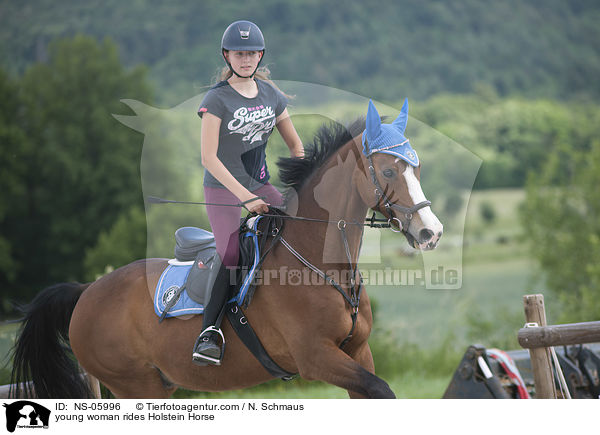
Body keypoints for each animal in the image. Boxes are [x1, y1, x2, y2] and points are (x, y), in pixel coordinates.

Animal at [8, 99, 440, 398]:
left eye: (417, 169)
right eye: (388, 171)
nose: (430, 232)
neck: (321, 263)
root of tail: (86, 291)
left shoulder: (358, 352)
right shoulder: (316, 357)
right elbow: (383, 389)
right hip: (135, 385)